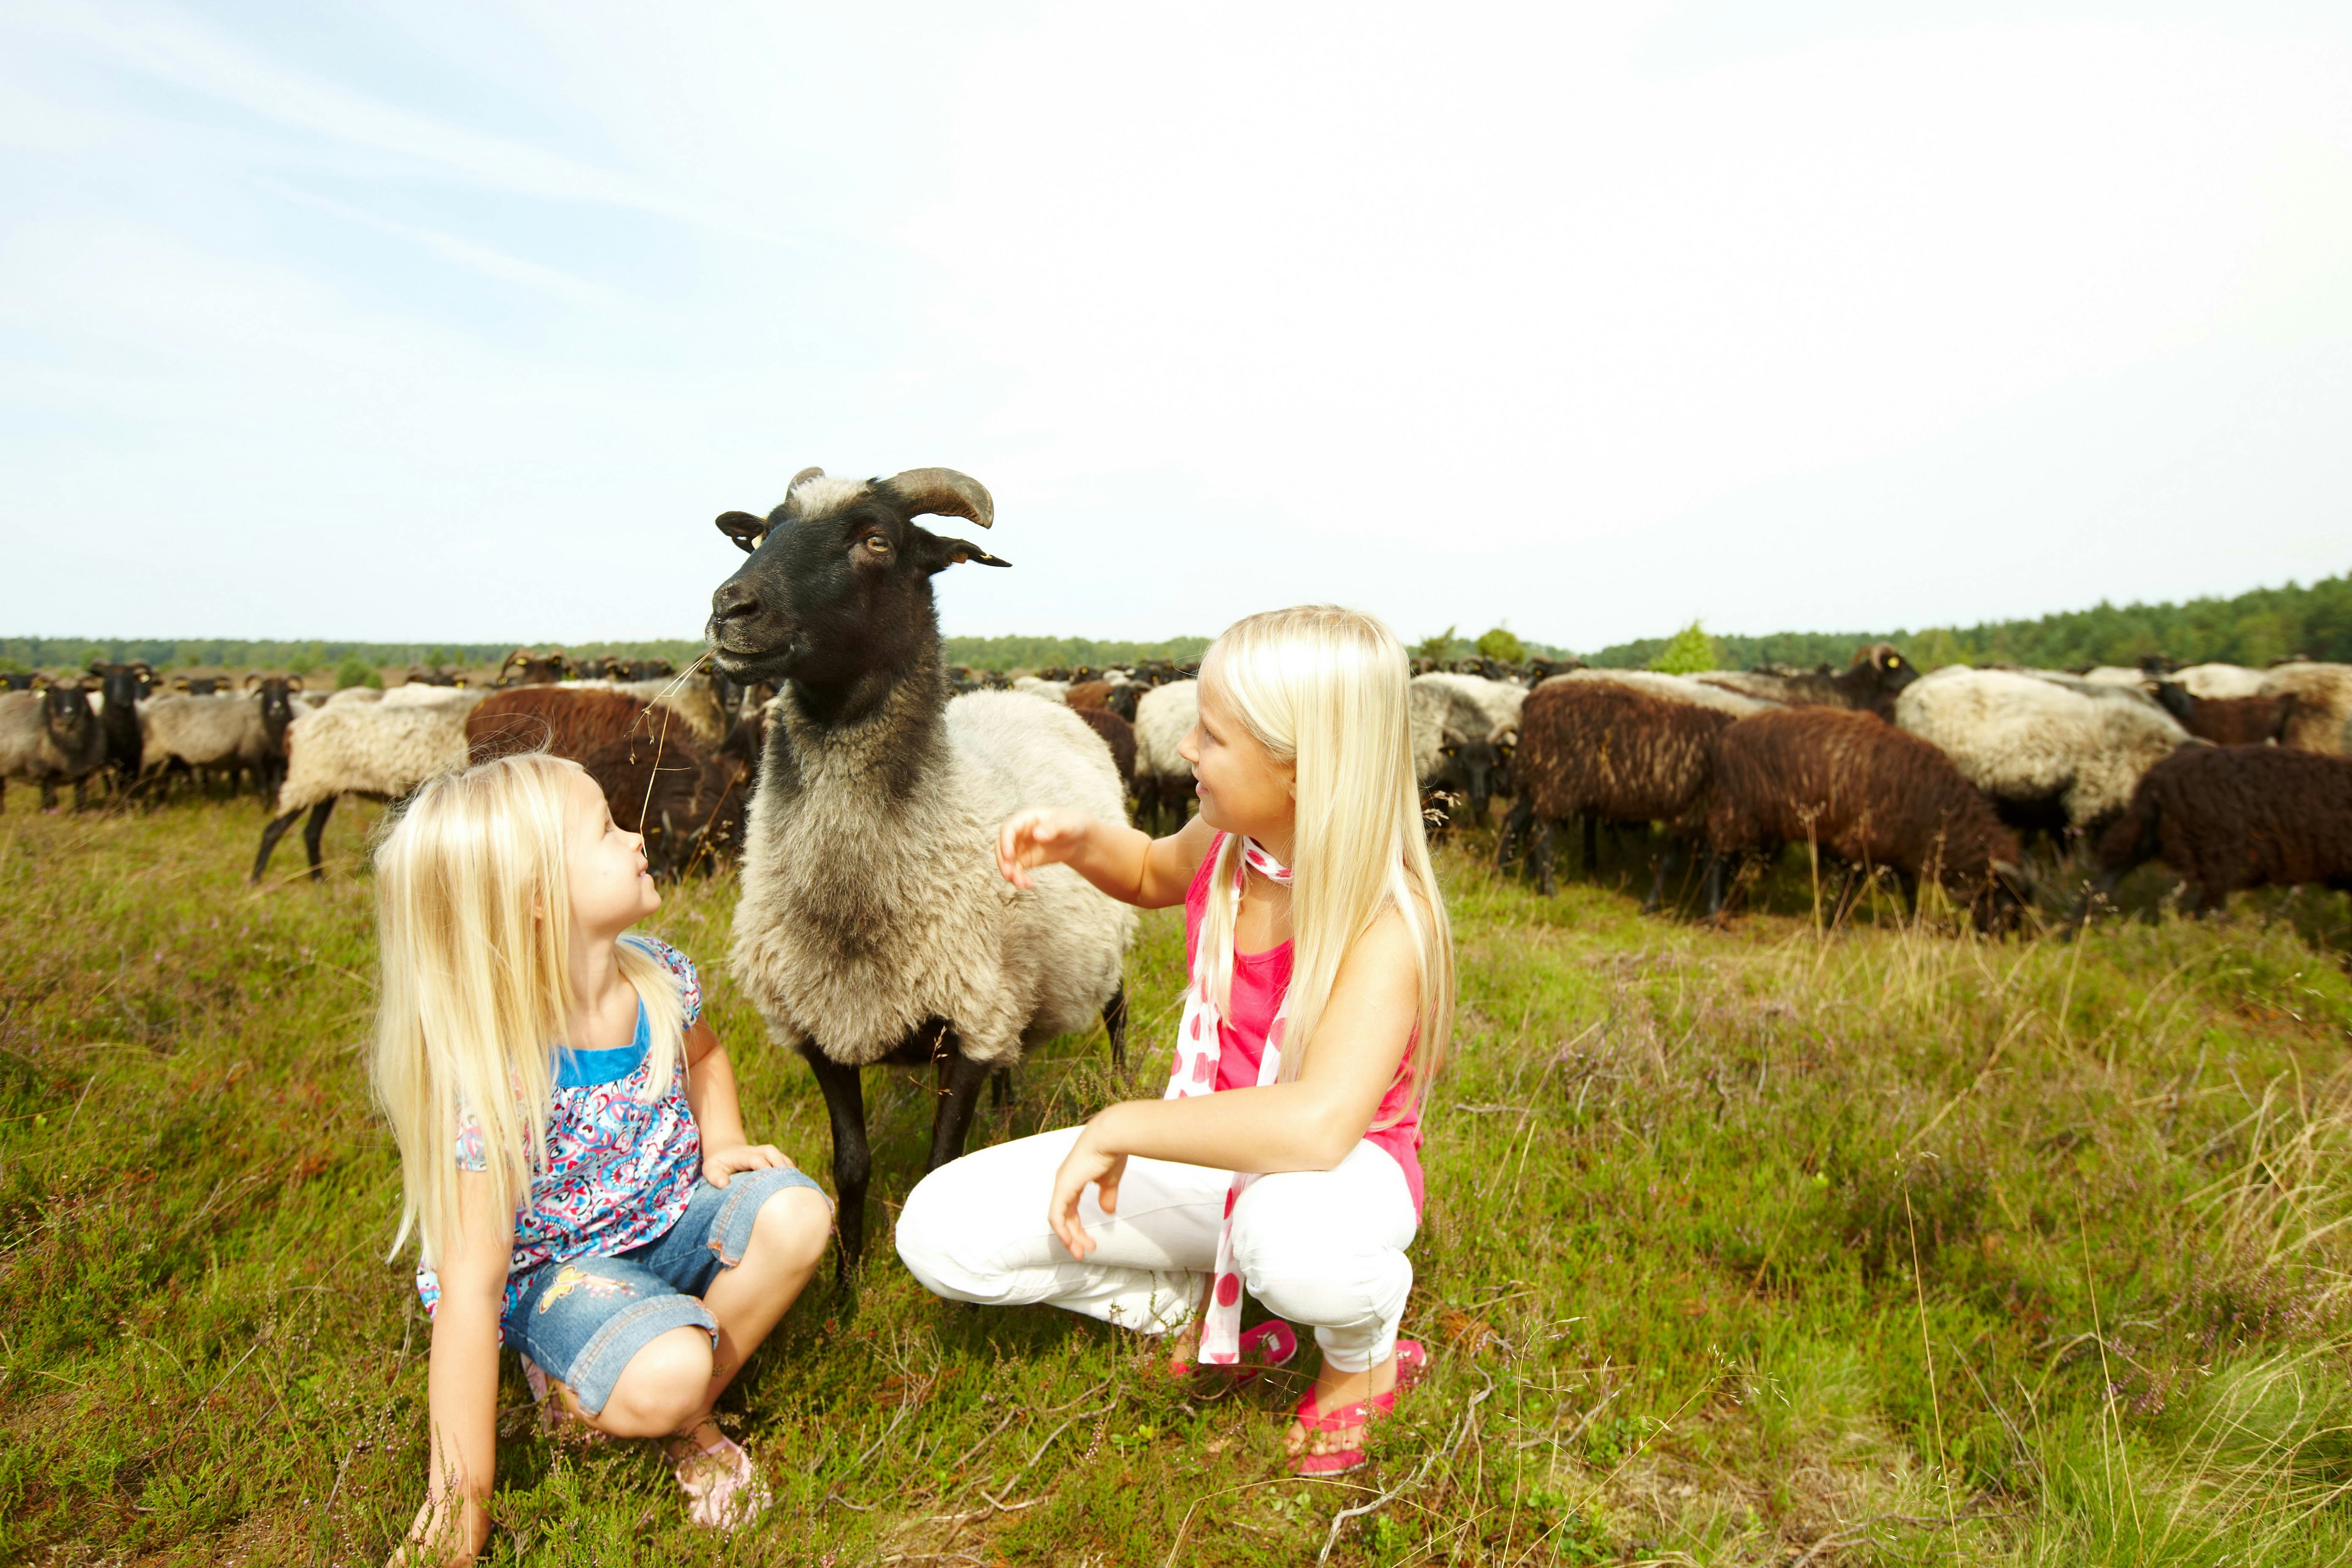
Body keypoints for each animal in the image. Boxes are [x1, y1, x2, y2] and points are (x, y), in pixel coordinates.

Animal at [0, 680, 107, 811]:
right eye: (53, 693)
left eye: (82, 692)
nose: (69, 714)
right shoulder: (45, 772)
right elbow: (50, 801)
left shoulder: (82, 772)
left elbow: (80, 799)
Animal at [251, 687, 484, 882]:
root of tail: (294, 729)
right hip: (305, 783)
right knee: (273, 831)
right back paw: (256, 881)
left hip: (324, 789)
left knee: (311, 833)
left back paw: (318, 881)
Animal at [705, 465, 1135, 1271]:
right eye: (766, 530)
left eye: (877, 540)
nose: (729, 608)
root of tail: (1016, 697)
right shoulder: (819, 1024)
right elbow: (851, 1165)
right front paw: (845, 1280)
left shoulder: (965, 1022)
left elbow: (940, 1167)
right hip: (1013, 981)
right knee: (1015, 1050)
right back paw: (1009, 1107)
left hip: (1105, 936)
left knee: (1118, 1012)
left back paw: (1124, 1083)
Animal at [1496, 670, 1767, 901]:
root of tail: (1533, 699)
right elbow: (1716, 859)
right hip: (1557, 778)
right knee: (1540, 833)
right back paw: (1549, 890)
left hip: (1536, 777)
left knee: (1513, 821)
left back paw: (1499, 872)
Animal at [1705, 707, 2029, 931]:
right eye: (2006, 901)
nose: (2001, 938)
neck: (1939, 809)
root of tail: (1727, 736)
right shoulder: (1860, 839)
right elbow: (1852, 883)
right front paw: (1838, 923)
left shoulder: (1899, 848)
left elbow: (1910, 888)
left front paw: (1915, 923)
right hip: (1736, 811)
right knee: (1719, 858)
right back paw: (1715, 915)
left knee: (1738, 862)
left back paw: (1734, 905)